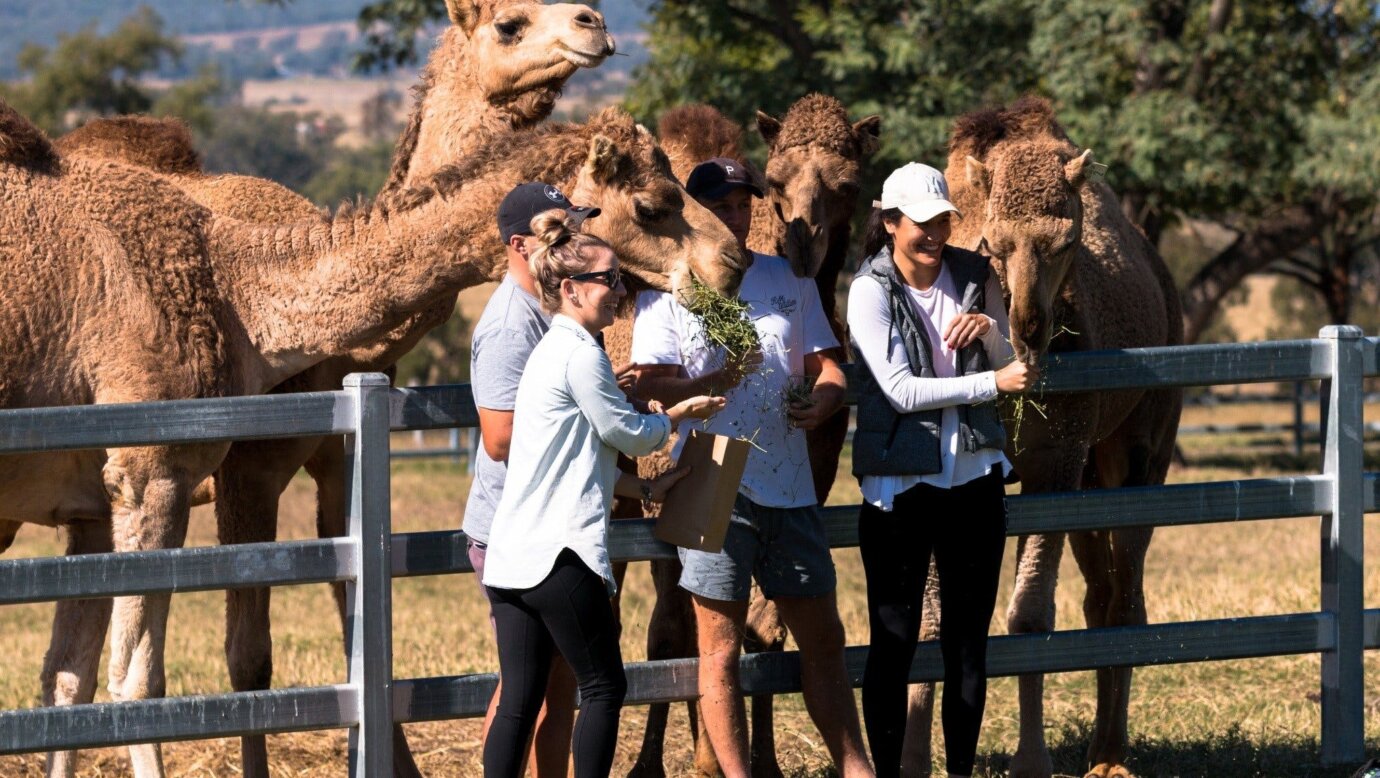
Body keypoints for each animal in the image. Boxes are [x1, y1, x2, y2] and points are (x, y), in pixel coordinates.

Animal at [5, 98, 750, 778]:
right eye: (652, 204)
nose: (733, 261)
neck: (235, 292)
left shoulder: (93, 504)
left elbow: (68, 680)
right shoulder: (151, 470)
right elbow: (137, 685)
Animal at [52, 3, 615, 772]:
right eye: (509, 23)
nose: (594, 24)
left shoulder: (337, 456)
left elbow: (357, 600)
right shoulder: (247, 469)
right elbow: (249, 658)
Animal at [899, 97, 1181, 778]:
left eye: (1066, 242)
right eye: (993, 244)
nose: (1029, 327)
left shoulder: (1054, 462)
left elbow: (1028, 616)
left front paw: (1031, 760)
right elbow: (932, 619)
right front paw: (915, 758)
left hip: (1142, 447)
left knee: (1126, 595)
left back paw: (1111, 755)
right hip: (1091, 473)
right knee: (1101, 595)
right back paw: (1102, 747)